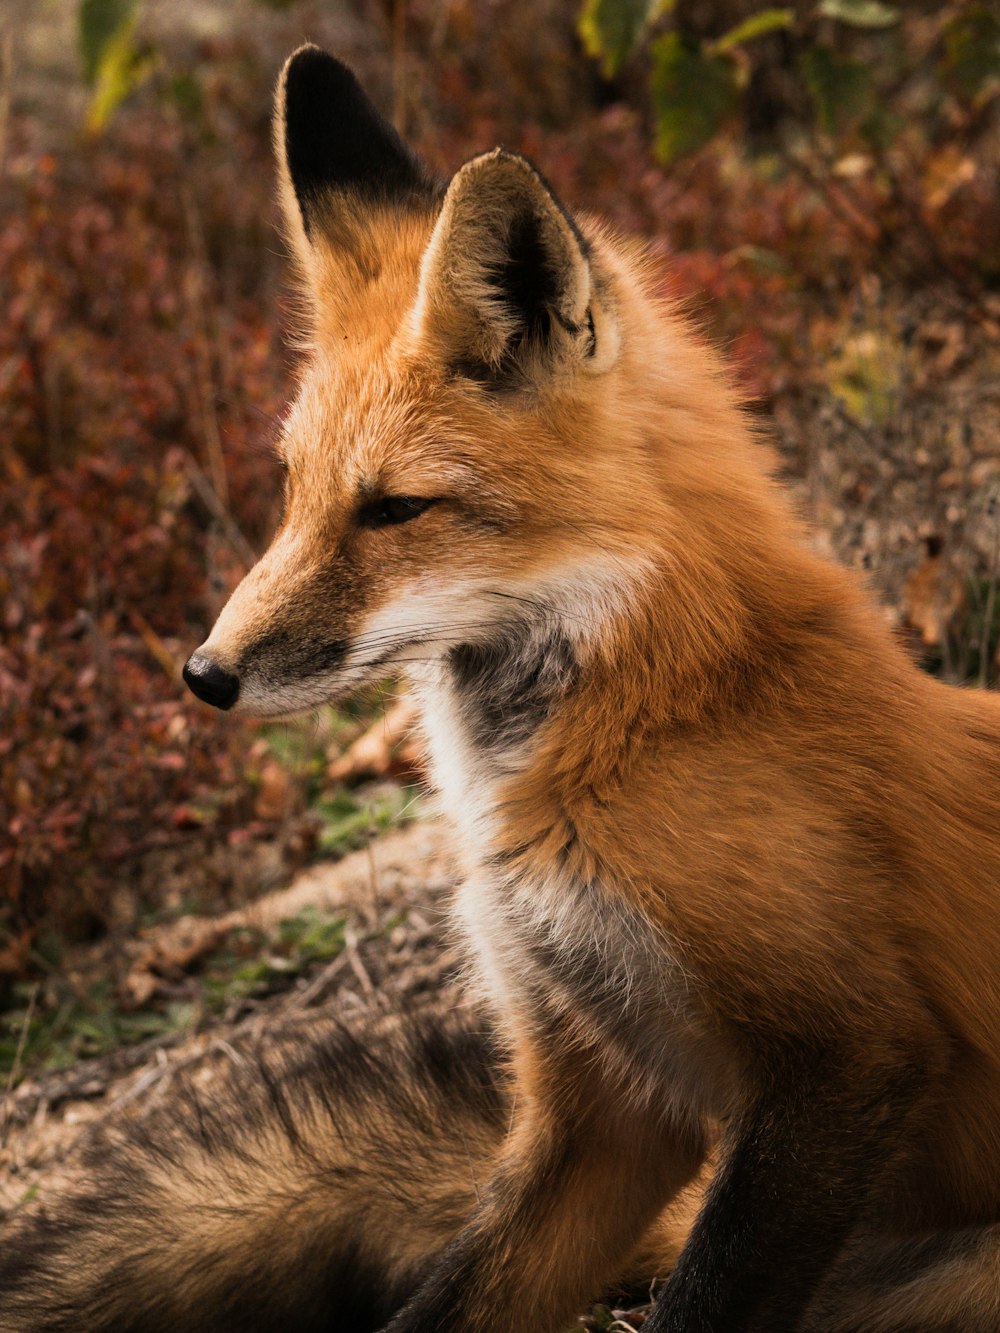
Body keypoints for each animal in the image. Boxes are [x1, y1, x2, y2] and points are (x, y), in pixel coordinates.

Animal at [5, 41, 1000, 1333]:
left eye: (393, 509)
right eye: (292, 489)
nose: (204, 674)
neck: (657, 725)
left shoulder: (847, 1062)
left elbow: (698, 1299)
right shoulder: (596, 1108)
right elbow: (452, 1297)